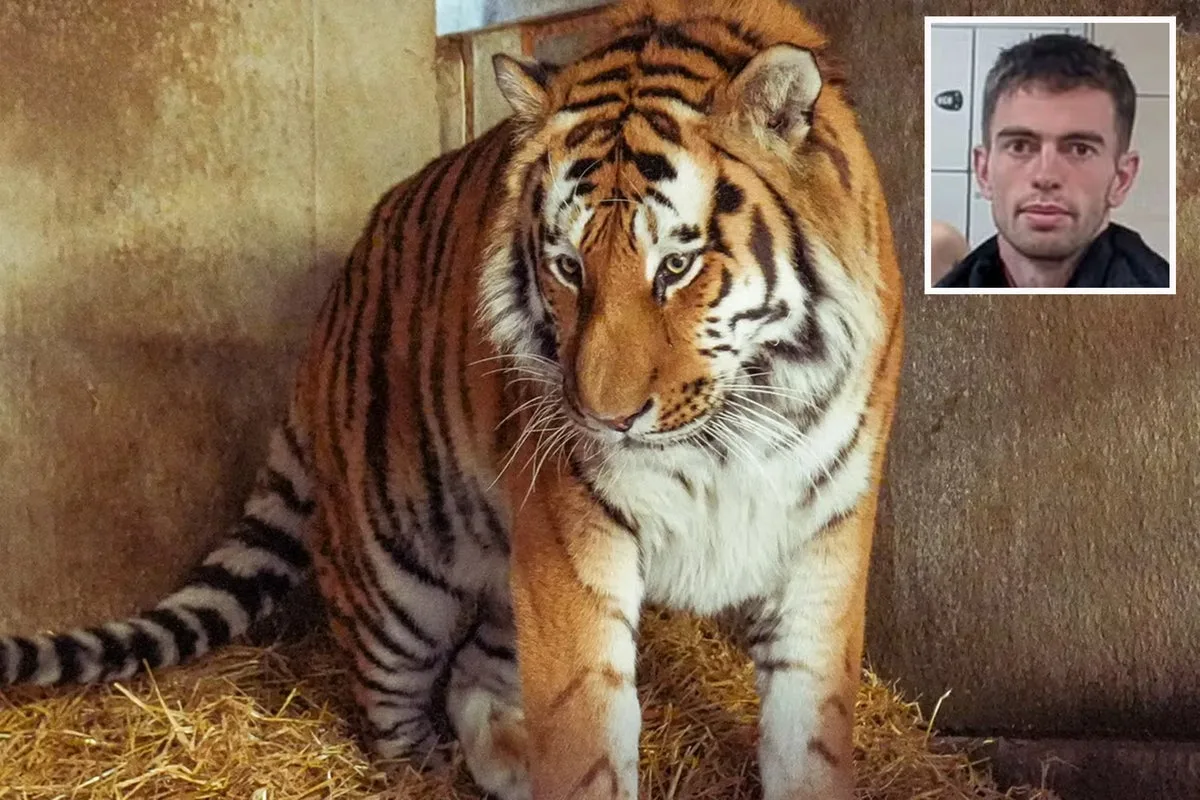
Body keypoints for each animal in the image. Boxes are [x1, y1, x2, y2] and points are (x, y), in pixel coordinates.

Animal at [0, 0, 904, 798]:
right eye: (568, 267)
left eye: (676, 267)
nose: (603, 418)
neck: (734, 427)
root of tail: (326, 320)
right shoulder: (572, 543)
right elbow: (586, 743)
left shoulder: (823, 533)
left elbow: (810, 736)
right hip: (399, 573)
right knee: (390, 700)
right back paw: (429, 768)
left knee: (475, 671)